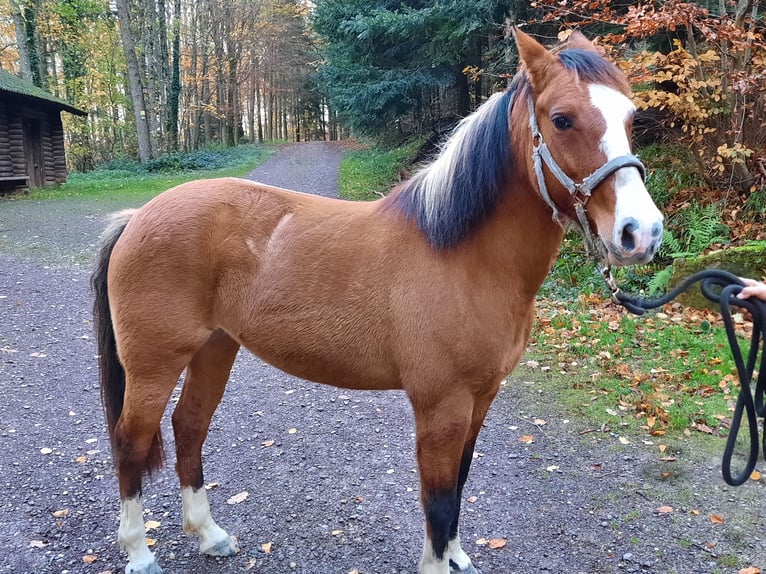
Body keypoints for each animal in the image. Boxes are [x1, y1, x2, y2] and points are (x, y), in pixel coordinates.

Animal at [91, 30, 664, 574]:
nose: (641, 233)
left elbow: (460, 482)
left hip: (214, 348)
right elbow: (438, 499)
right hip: (153, 364)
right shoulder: (441, 406)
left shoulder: (480, 399)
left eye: (631, 117)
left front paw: (457, 555)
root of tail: (138, 217)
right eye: (562, 119)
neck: (463, 255)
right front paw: (438, 563)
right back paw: (139, 553)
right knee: (131, 441)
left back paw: (210, 536)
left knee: (188, 427)